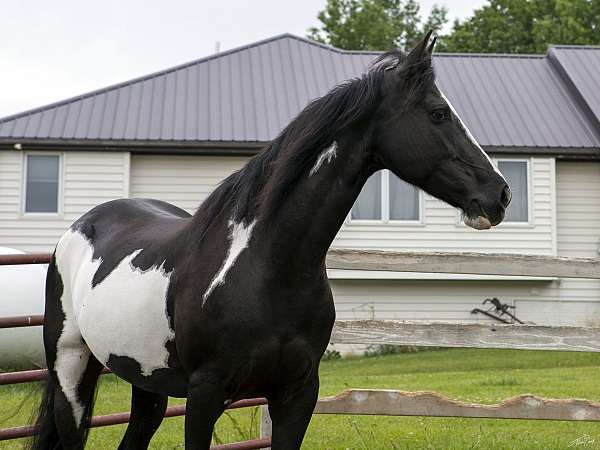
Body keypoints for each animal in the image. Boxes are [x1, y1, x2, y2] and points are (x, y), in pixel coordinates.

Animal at [30, 33, 510, 450]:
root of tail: (81, 226)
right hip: (72, 369)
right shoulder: (204, 397)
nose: (500, 194)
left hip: (145, 380)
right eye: (438, 113)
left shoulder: (297, 395)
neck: (266, 268)